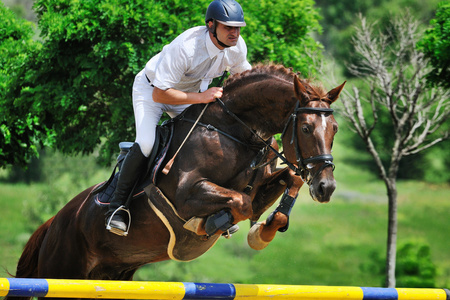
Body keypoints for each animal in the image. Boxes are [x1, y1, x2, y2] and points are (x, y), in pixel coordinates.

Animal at [7, 63, 344, 298]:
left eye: (335, 129)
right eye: (305, 128)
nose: (326, 187)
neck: (234, 131)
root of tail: (55, 222)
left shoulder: (263, 184)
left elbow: (286, 183)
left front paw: (263, 232)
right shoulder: (186, 194)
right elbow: (241, 202)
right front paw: (214, 224)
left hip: (108, 277)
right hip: (62, 268)